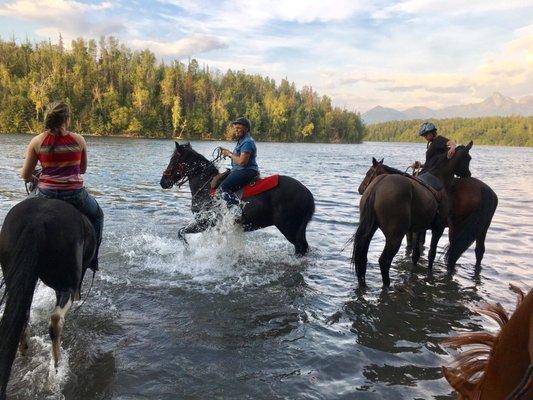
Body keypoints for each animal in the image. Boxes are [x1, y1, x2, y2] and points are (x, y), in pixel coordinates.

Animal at [0, 197, 95, 396]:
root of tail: (36, 221)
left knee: (22, 314)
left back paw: (23, 349)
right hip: (66, 283)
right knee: (56, 319)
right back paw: (57, 367)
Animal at [160, 142, 314, 255]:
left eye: (173, 160)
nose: (163, 182)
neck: (205, 187)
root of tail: (307, 194)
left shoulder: (206, 222)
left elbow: (181, 232)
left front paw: (188, 250)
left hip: (289, 228)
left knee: (300, 248)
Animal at [352, 142, 472, 286]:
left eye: (369, 173)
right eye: (468, 158)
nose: (469, 174)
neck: (439, 178)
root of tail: (377, 186)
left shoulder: (419, 229)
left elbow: (415, 255)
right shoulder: (438, 228)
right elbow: (431, 254)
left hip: (370, 231)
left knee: (362, 258)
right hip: (395, 237)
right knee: (384, 261)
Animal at [356, 156, 496, 268]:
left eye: (368, 173)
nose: (360, 189)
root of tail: (485, 189)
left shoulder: (411, 231)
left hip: (456, 226)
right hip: (481, 228)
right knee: (476, 251)